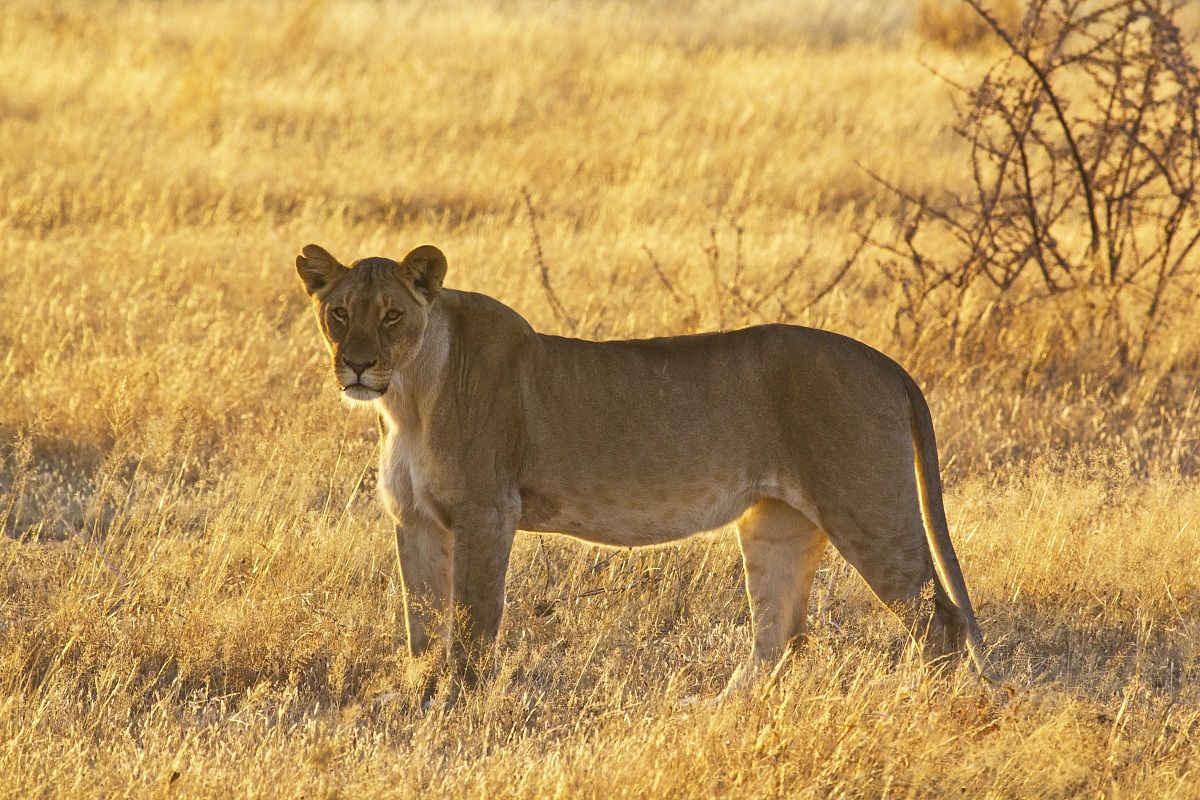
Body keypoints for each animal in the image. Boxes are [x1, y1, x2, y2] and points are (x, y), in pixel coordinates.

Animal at [295, 242, 990, 697]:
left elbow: (471, 621)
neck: (408, 397)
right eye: (339, 313)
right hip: (776, 522)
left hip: (867, 511)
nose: (357, 365)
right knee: (781, 633)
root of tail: (889, 364)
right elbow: (421, 622)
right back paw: (715, 711)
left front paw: (458, 708)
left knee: (939, 620)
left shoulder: (486, 513)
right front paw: (417, 697)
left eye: (392, 315)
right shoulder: (414, 519)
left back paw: (924, 705)